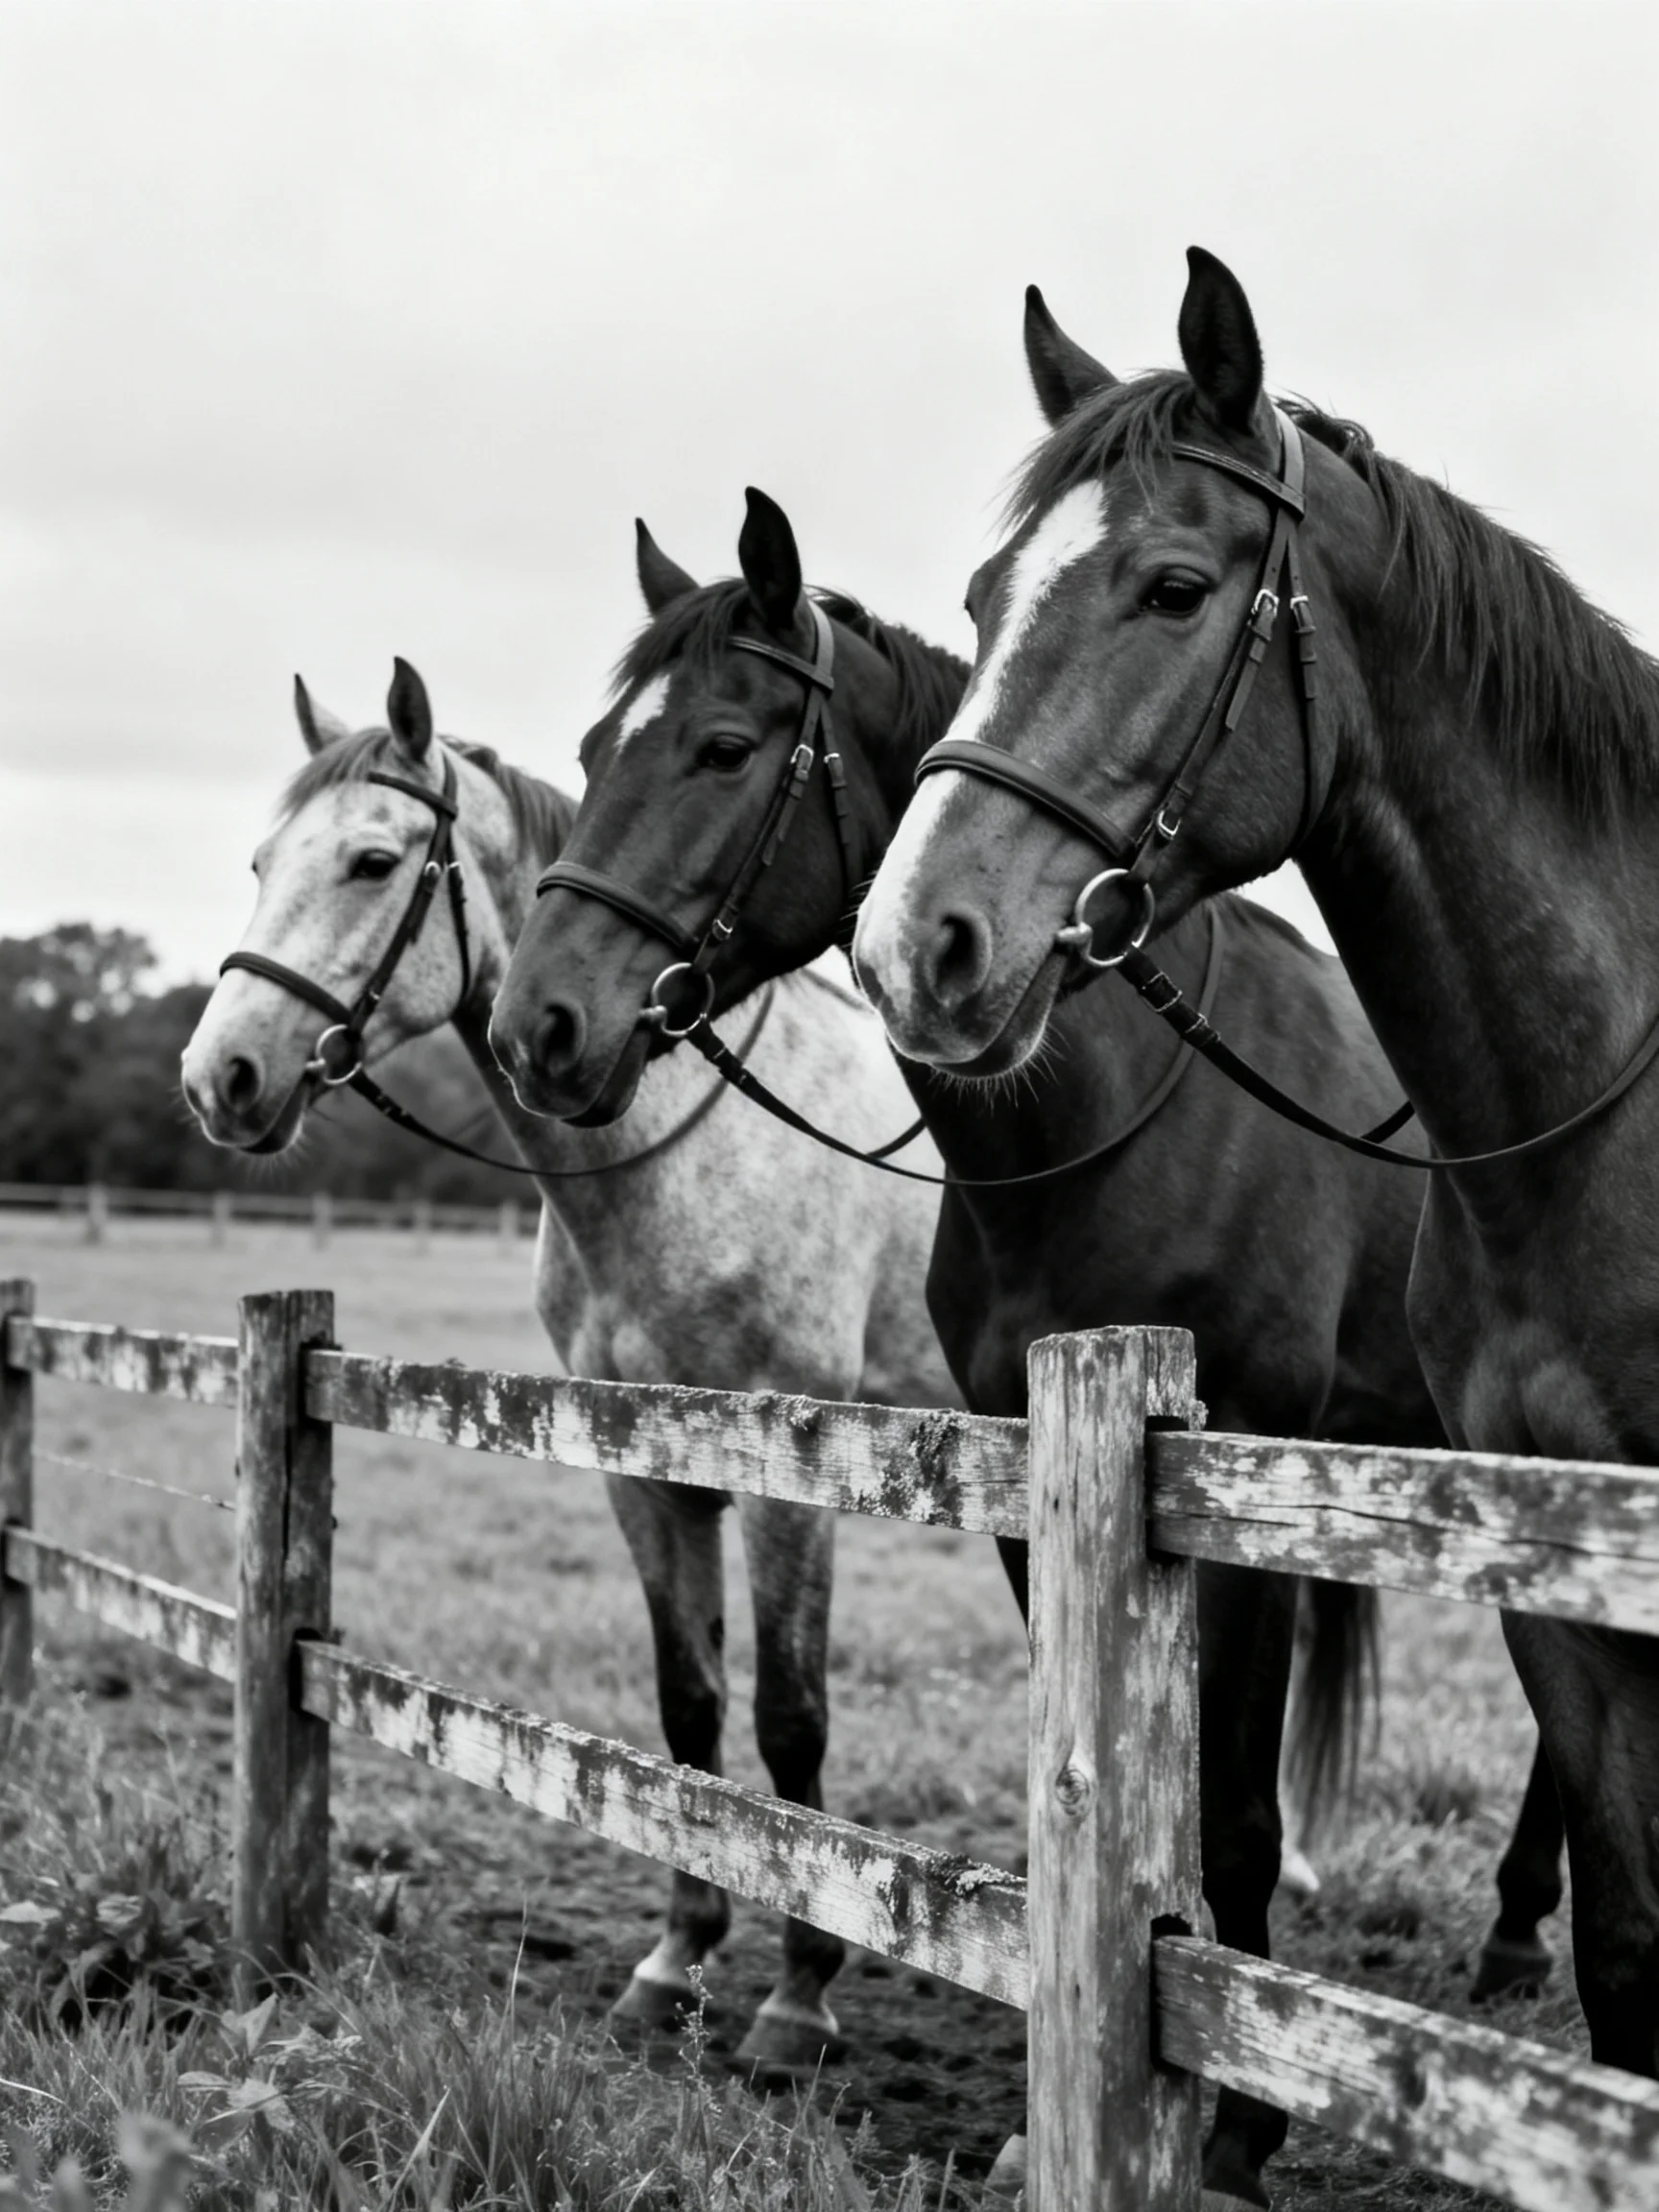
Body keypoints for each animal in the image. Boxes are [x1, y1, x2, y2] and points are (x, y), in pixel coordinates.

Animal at [179, 659, 958, 2071]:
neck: (683, 1148)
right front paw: (676, 1961)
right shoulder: (641, 1474)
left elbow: (792, 1720)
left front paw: (799, 1994)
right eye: (262, 861)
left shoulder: (794, 1483)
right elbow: (690, 1709)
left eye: (374, 860)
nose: (222, 1077)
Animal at [484, 498, 1464, 2209]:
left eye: (724, 747)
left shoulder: (1239, 1497)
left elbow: (1230, 1811)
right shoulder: (1037, 1499)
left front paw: (1239, 2130)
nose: (540, 1024)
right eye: (600, 749)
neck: (1115, 1119)